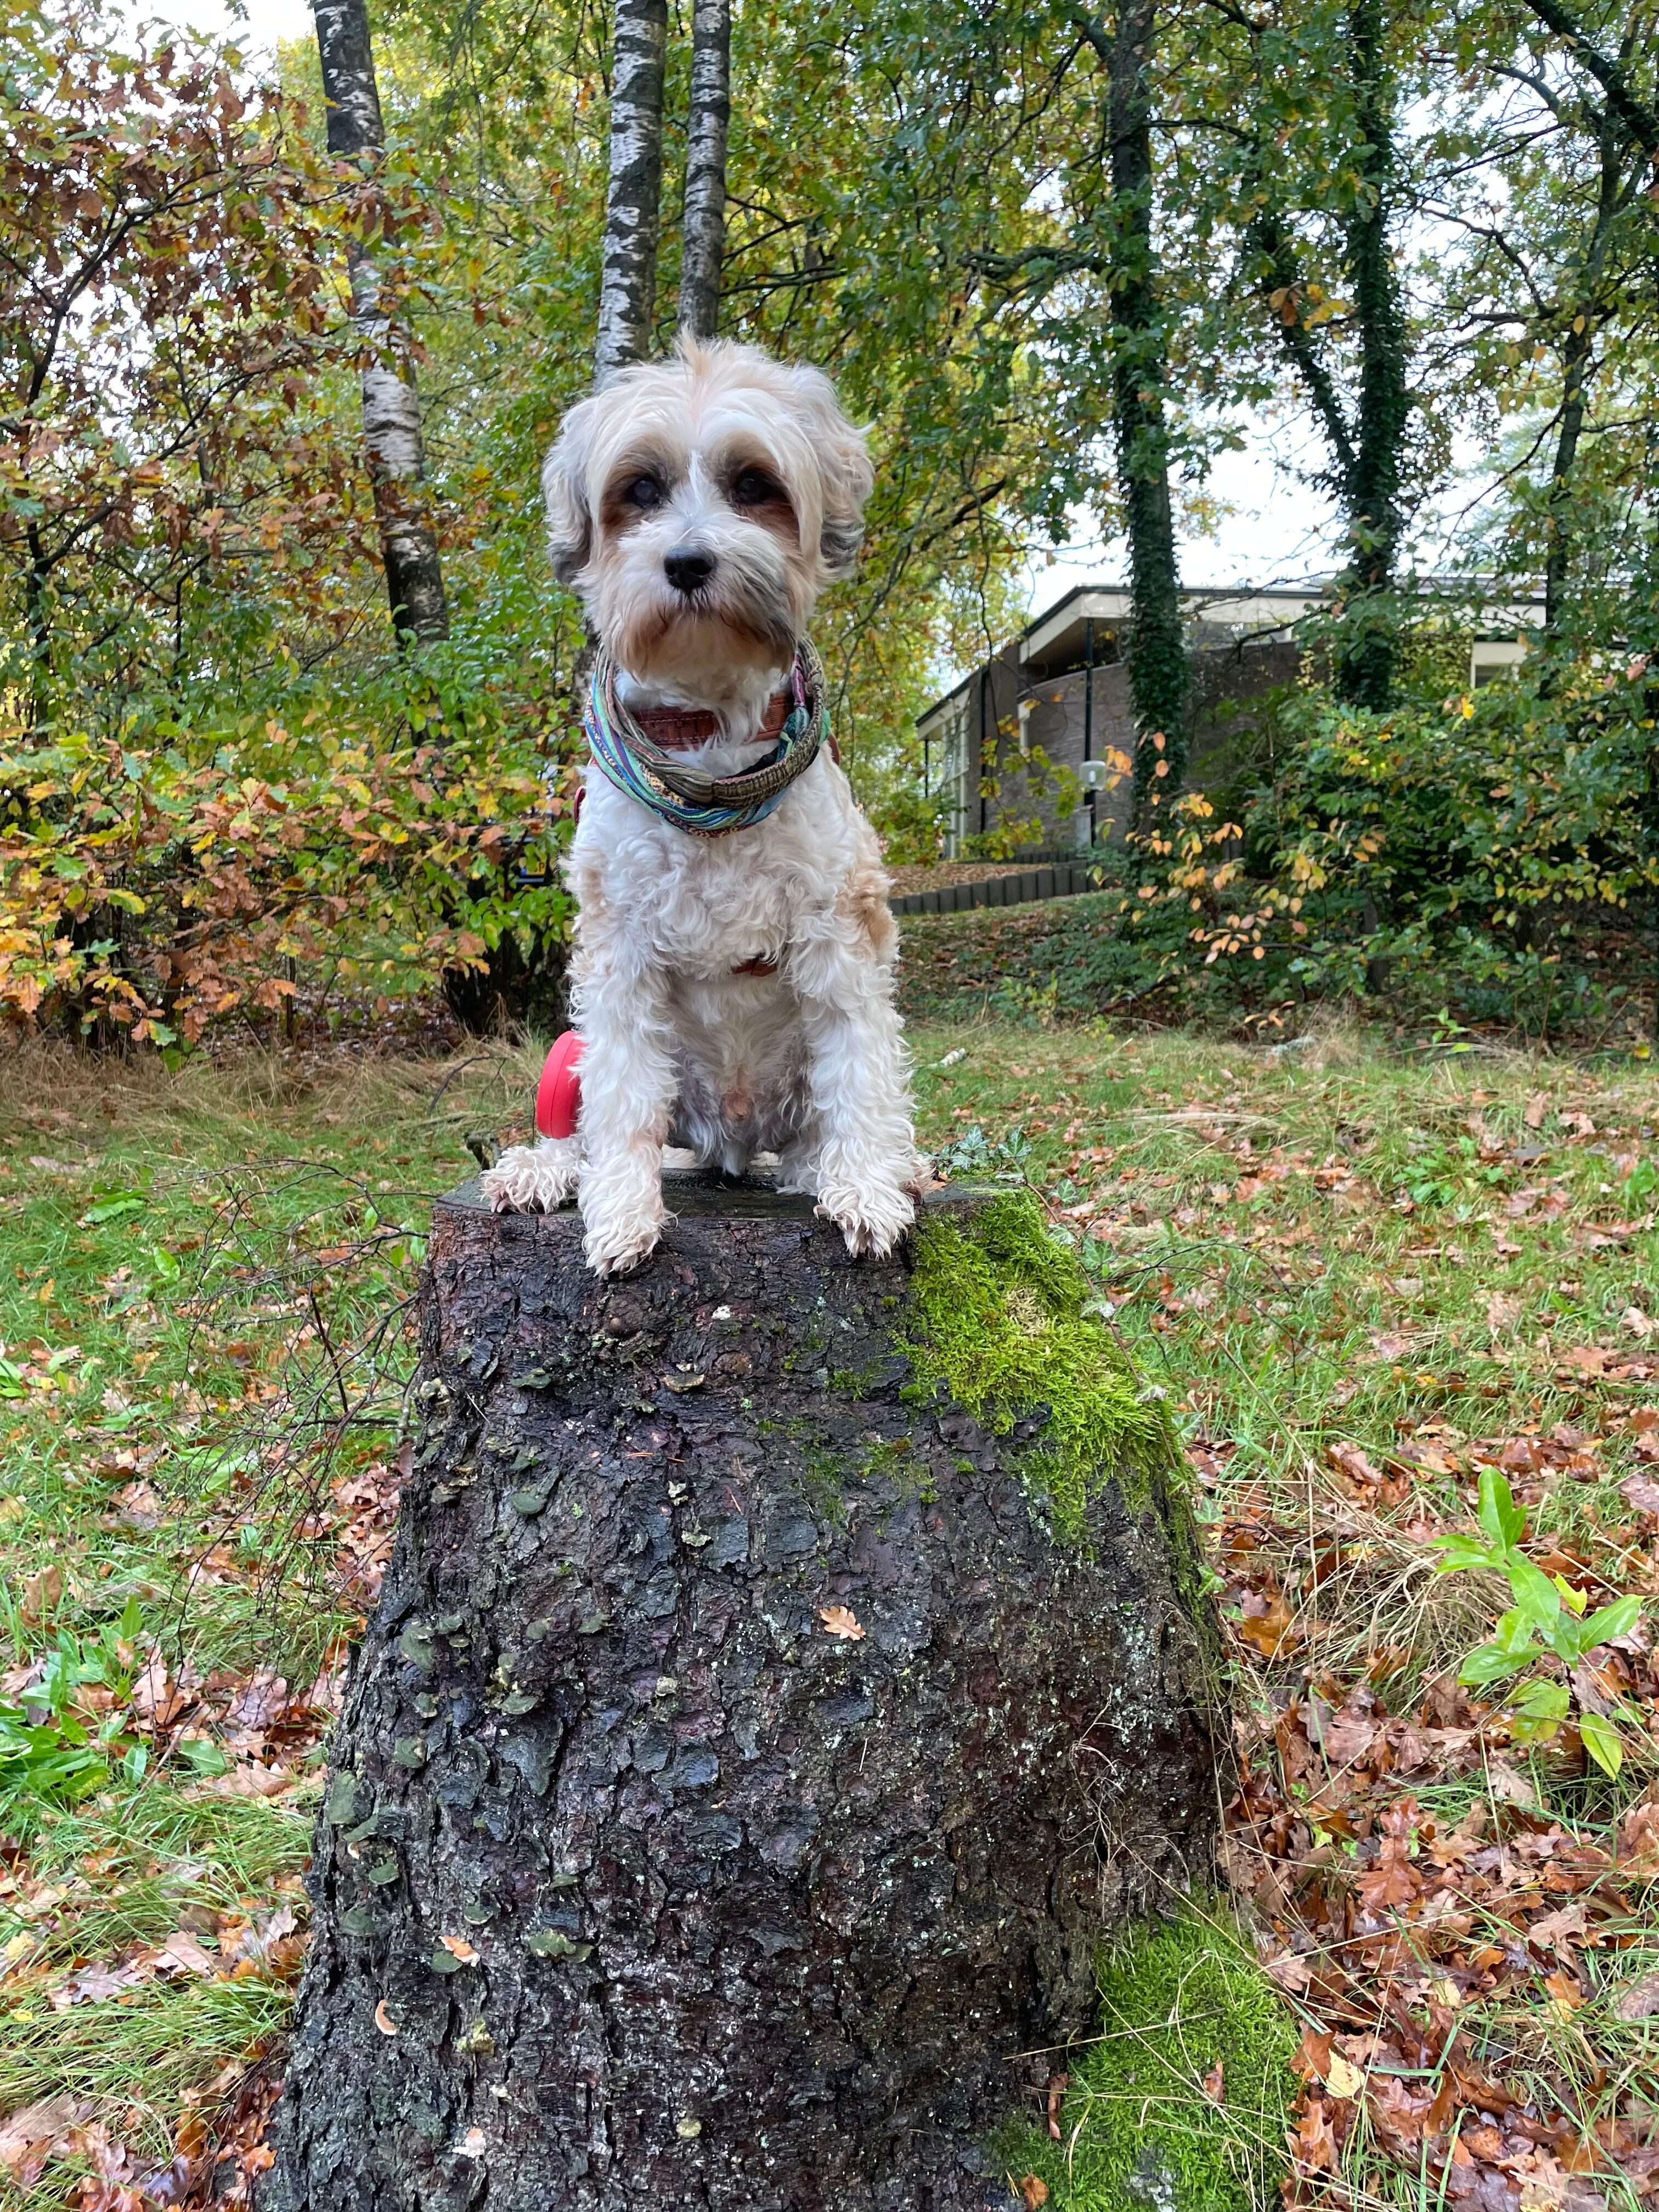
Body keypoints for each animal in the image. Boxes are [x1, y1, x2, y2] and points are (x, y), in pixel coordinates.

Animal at [482, 339, 920, 1276]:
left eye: (753, 483)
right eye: (640, 489)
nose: (687, 562)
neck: (710, 736)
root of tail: (732, 1143)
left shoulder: (842, 935)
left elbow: (861, 1065)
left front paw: (867, 1187)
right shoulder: (616, 957)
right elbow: (621, 1105)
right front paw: (619, 1212)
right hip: (576, 1058)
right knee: (590, 1123)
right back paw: (545, 1170)